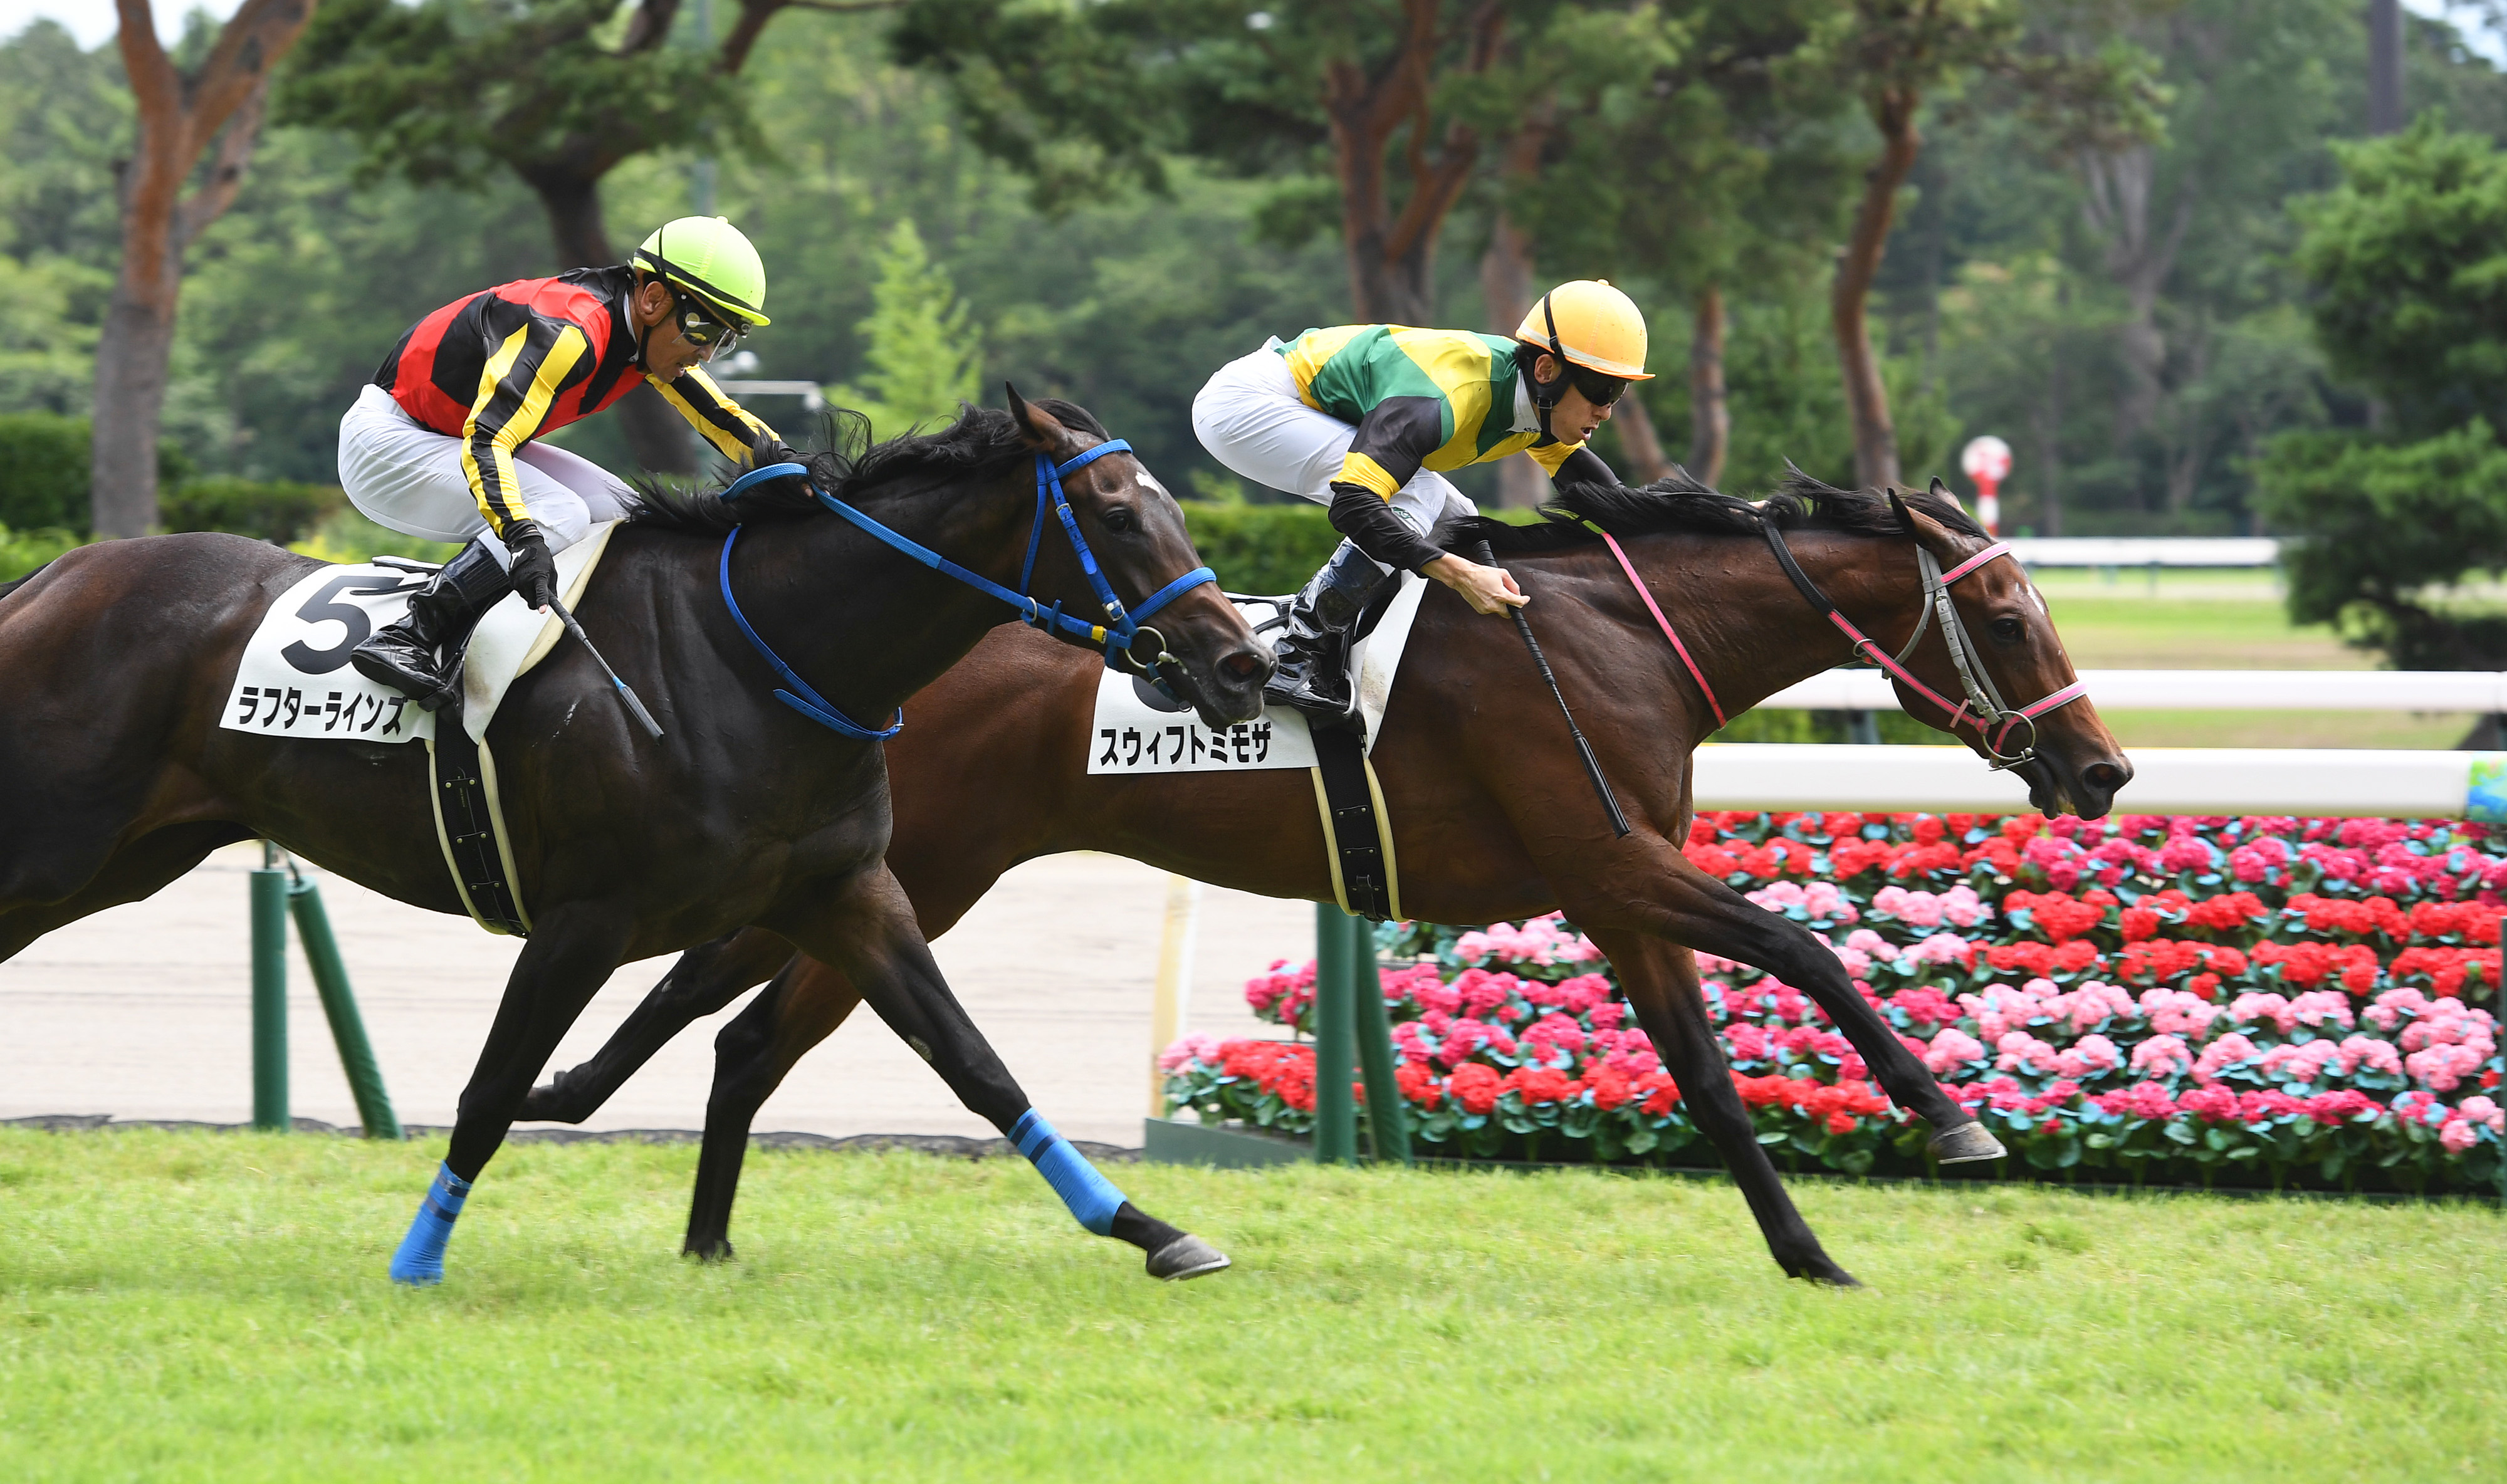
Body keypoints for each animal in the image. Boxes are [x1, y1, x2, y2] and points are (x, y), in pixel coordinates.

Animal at [0, 392, 1271, 1283]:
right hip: (56, 847)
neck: (760, 656)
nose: (1241, 664)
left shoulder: (849, 892)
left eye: (1177, 510)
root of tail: (47, 577)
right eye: (1119, 516)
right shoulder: (582, 919)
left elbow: (973, 1060)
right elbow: (491, 1089)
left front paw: (1150, 1228)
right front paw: (419, 1256)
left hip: (123, 859)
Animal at [520, 469, 2135, 1287]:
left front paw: (1807, 1251)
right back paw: (601, 1123)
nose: (2103, 769)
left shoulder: (1617, 892)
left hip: (888, 879)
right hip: (922, 867)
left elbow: (1705, 1071)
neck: (1606, 635)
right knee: (730, 1012)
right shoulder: (1611, 859)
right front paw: (1953, 1122)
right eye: (2004, 609)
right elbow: (1806, 954)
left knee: (739, 1032)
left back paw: (690, 1218)